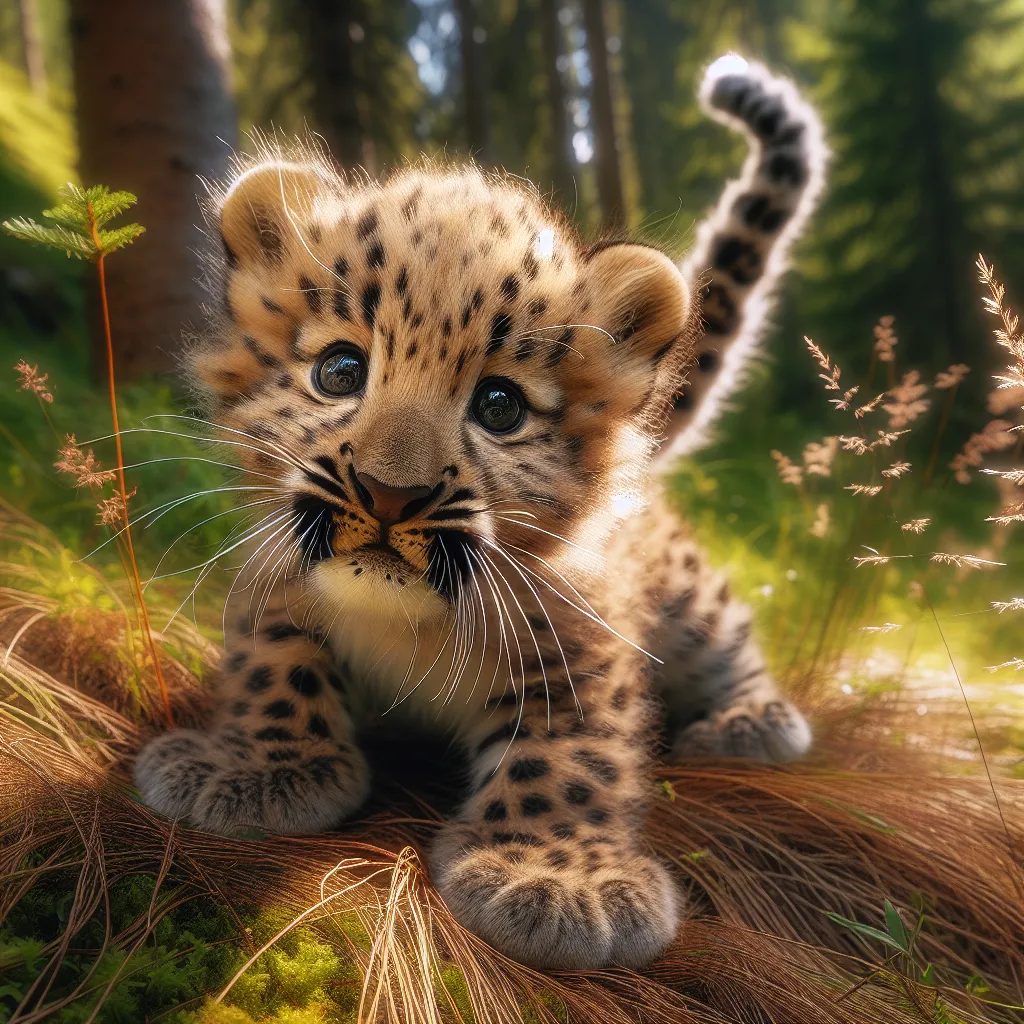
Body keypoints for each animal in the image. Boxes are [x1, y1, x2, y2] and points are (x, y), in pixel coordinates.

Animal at [135, 54, 827, 970]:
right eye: (340, 371)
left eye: (500, 407)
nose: (390, 492)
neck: (406, 626)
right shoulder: (272, 574)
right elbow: (274, 663)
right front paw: (249, 765)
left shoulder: (581, 636)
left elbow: (568, 752)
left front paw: (559, 880)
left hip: (687, 589)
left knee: (725, 631)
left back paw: (752, 720)